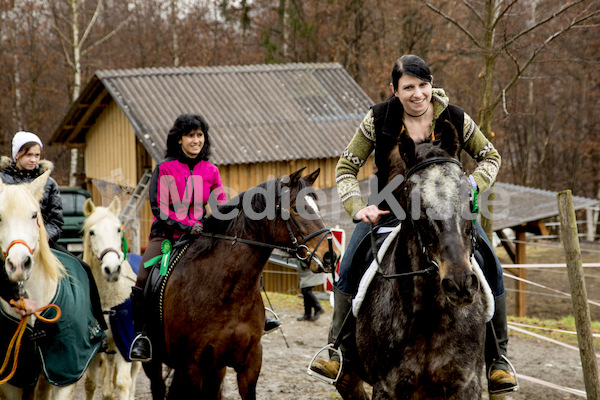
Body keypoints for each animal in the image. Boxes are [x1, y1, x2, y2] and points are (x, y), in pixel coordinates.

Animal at [81, 198, 140, 400]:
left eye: (118, 230)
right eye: (92, 232)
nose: (112, 269)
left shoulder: (126, 342)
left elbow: (123, 384)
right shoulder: (96, 348)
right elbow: (91, 384)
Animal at [142, 169, 336, 400]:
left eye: (316, 206)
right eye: (296, 208)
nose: (330, 255)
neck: (227, 292)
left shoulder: (249, 364)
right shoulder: (191, 367)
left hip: (215, 370)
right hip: (155, 363)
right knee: (157, 387)